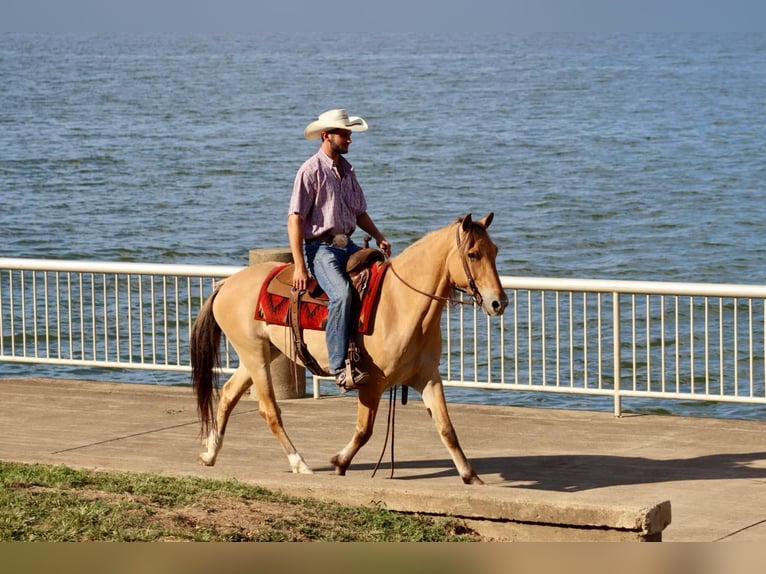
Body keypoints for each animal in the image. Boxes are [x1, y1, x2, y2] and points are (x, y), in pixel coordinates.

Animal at [190, 213, 508, 484]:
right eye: (473, 254)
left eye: (495, 250)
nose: (499, 302)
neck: (400, 302)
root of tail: (226, 283)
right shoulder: (372, 383)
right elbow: (364, 430)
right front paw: (340, 462)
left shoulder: (428, 377)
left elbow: (446, 429)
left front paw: (470, 475)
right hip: (255, 356)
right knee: (269, 410)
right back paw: (299, 463)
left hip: (262, 354)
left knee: (228, 394)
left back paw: (210, 453)